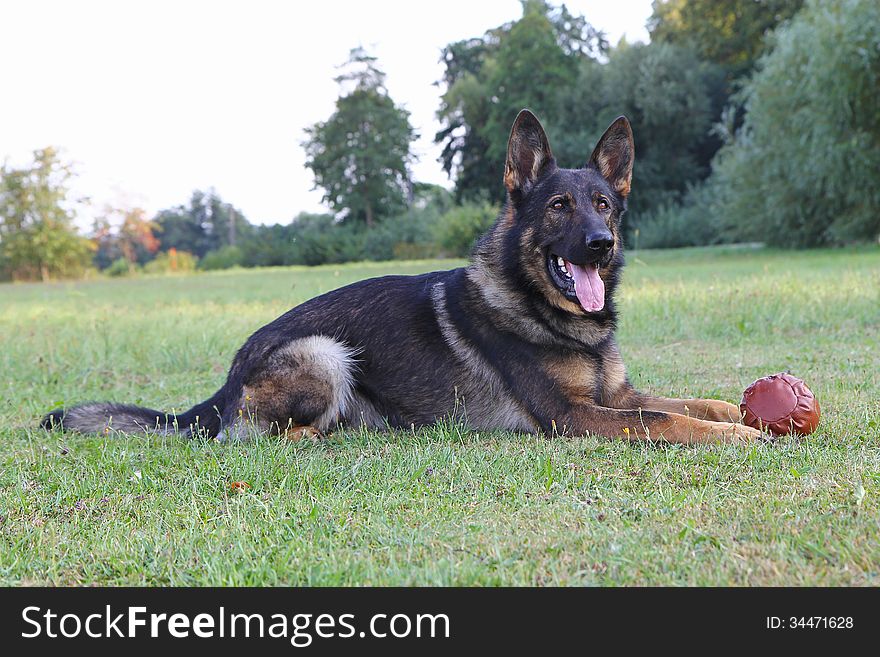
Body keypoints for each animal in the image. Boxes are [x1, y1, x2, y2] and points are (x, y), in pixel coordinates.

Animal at [43, 110, 764, 444]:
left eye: (606, 204)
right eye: (560, 205)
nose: (600, 244)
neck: (548, 314)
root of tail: (226, 379)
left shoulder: (616, 395)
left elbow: (688, 401)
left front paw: (739, 412)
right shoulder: (574, 417)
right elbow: (666, 420)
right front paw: (738, 435)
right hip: (324, 352)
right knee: (268, 437)